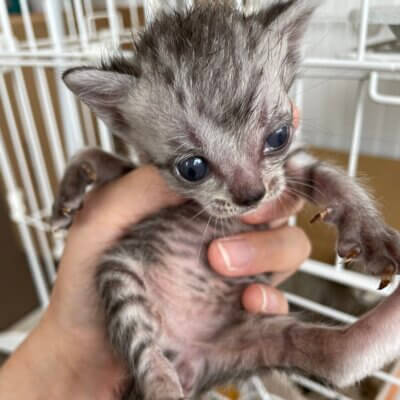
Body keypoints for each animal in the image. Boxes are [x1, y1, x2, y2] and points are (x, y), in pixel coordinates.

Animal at [51, 1, 400, 398]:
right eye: (192, 168)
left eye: (278, 136)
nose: (252, 196)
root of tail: (191, 360)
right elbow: (103, 157)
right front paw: (75, 180)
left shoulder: (290, 166)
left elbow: (333, 179)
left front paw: (369, 231)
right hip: (119, 275)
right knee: (145, 347)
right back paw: (161, 382)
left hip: (254, 342)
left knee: (338, 357)